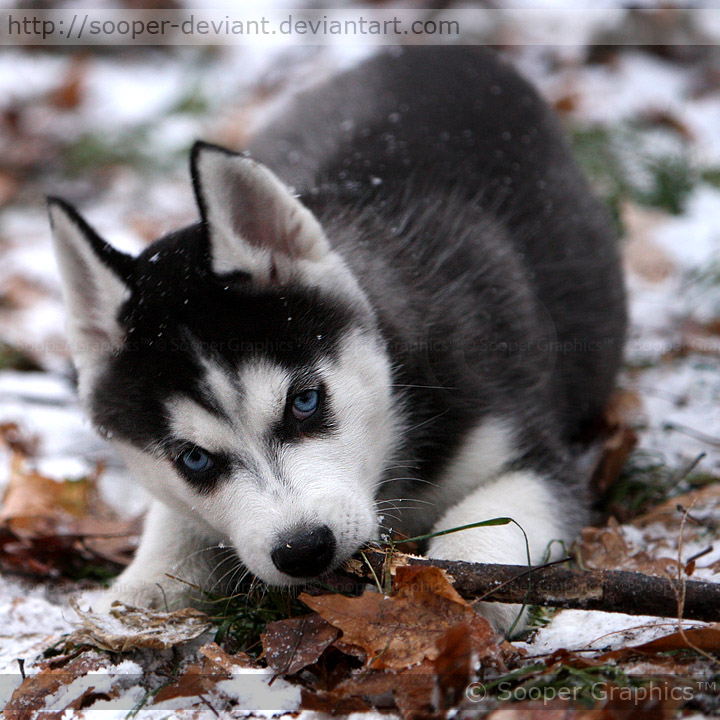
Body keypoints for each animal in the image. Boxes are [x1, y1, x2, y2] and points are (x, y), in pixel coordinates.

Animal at [50, 46, 624, 632]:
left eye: (304, 401)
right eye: (192, 459)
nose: (303, 549)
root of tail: (439, 50)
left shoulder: (528, 455)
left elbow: (489, 527)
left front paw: (457, 611)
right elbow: (172, 526)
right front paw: (128, 598)